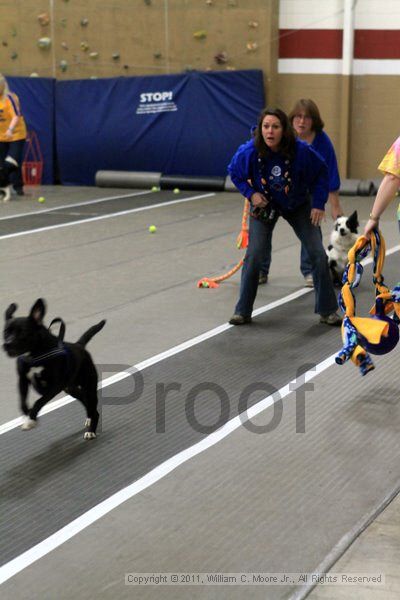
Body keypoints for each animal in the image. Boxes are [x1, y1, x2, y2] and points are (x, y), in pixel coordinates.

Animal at [3, 298, 105, 438]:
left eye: (22, 332)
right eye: (5, 332)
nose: (6, 344)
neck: (34, 354)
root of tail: (79, 345)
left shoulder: (54, 386)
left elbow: (39, 401)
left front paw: (31, 420)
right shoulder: (22, 381)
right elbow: (22, 402)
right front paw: (27, 416)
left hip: (88, 386)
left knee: (92, 406)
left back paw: (91, 430)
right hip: (71, 388)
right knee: (86, 402)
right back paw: (89, 418)